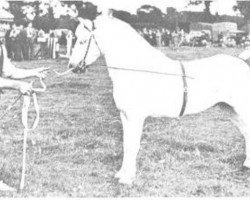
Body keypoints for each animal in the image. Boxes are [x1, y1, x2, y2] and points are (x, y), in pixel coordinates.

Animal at [68, 12, 250, 184]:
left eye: (83, 41)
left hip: (241, 109)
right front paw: (121, 174)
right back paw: (246, 165)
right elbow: (127, 144)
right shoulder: (124, 116)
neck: (135, 69)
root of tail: (242, 62)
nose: (72, 66)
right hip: (230, 110)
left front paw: (127, 179)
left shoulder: (135, 117)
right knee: (246, 132)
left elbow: (133, 145)